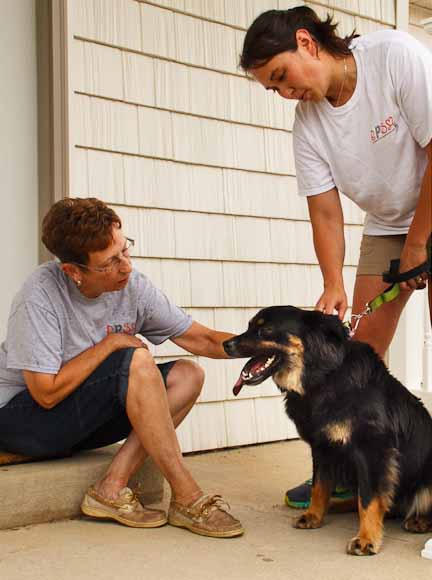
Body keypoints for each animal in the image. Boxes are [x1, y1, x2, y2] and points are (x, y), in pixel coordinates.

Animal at [224, 306, 432, 556]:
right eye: (249, 326)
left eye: (265, 330)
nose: (225, 344)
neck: (324, 375)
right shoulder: (322, 447)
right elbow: (319, 487)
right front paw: (314, 516)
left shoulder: (373, 450)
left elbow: (369, 499)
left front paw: (366, 538)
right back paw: (338, 505)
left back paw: (419, 520)